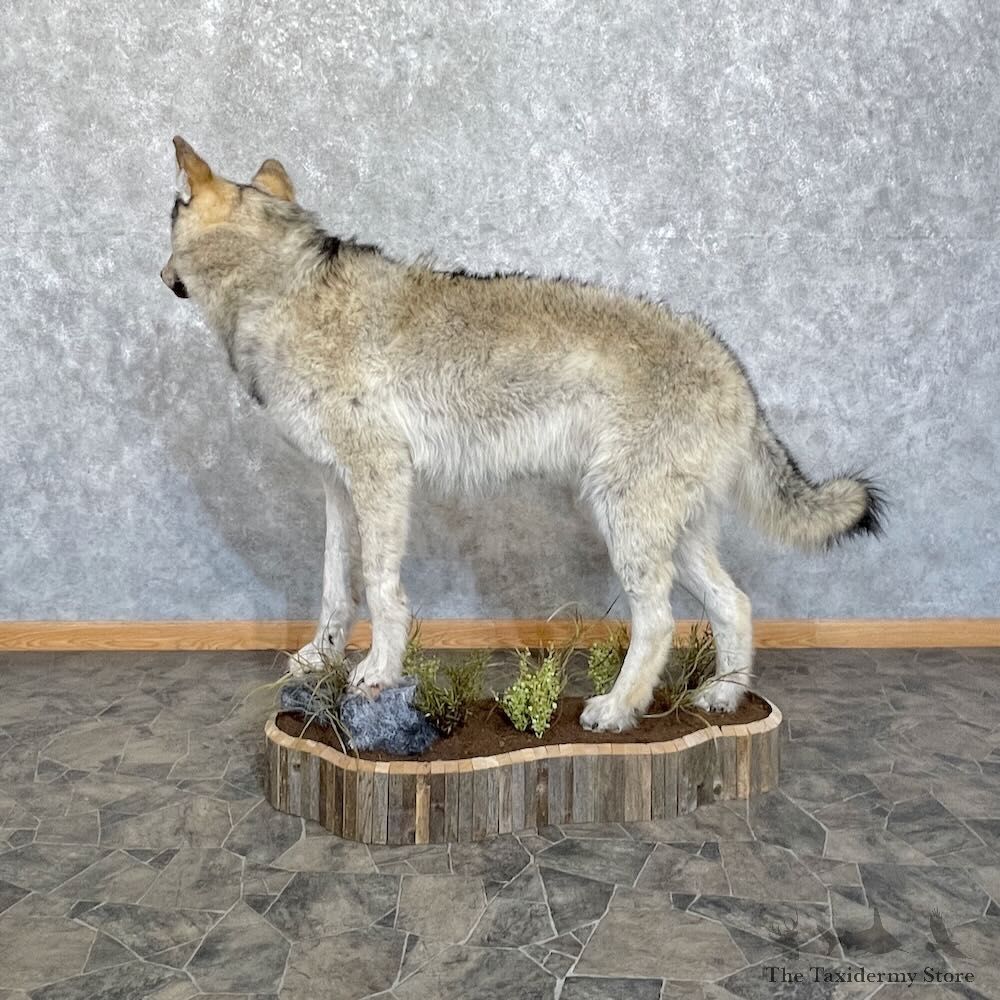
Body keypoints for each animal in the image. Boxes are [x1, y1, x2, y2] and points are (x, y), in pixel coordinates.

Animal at [162, 136, 883, 732]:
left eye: (167, 222)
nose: (162, 277)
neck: (279, 291)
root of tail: (736, 369)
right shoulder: (338, 488)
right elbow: (336, 588)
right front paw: (320, 658)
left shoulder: (382, 476)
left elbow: (382, 591)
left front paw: (377, 675)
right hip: (672, 535)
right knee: (735, 604)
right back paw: (723, 698)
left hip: (624, 524)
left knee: (660, 621)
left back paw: (617, 710)